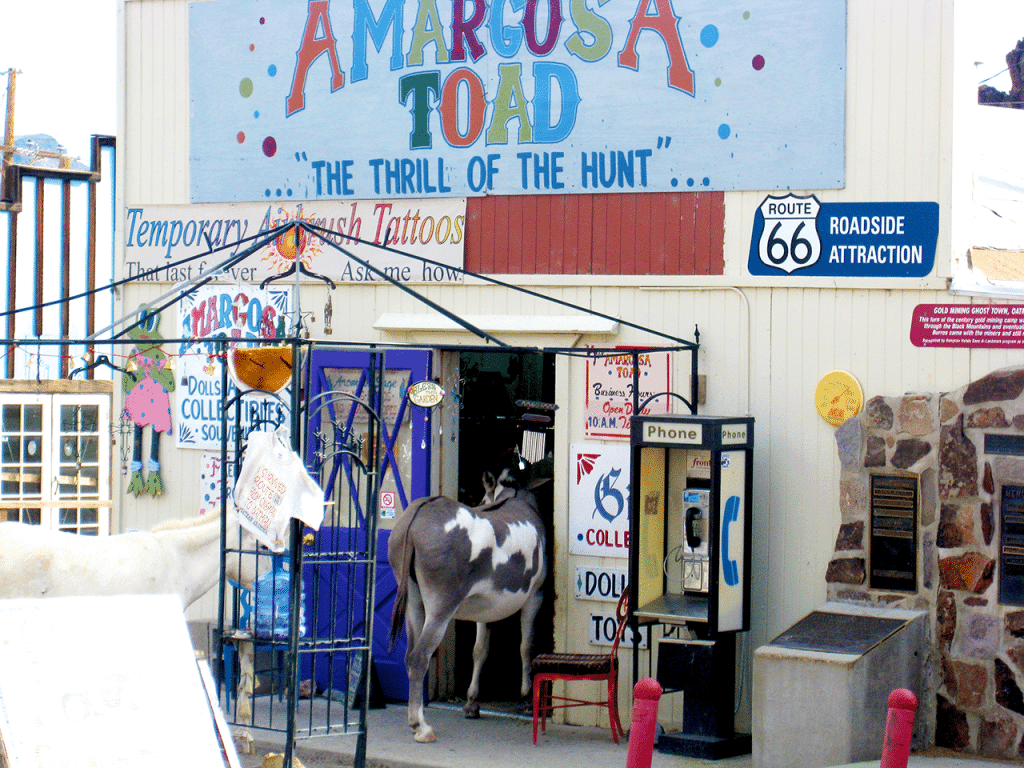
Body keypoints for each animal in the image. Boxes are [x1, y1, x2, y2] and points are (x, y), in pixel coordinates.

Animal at [385, 468, 544, 745]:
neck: (514, 495)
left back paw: (416, 720)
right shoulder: (535, 596)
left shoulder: (488, 607)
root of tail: (418, 515)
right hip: (441, 605)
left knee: (409, 655)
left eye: (480, 500)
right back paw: (421, 726)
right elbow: (526, 646)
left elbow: (480, 651)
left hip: (414, 604)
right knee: (419, 657)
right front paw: (526, 693)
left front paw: (472, 702)